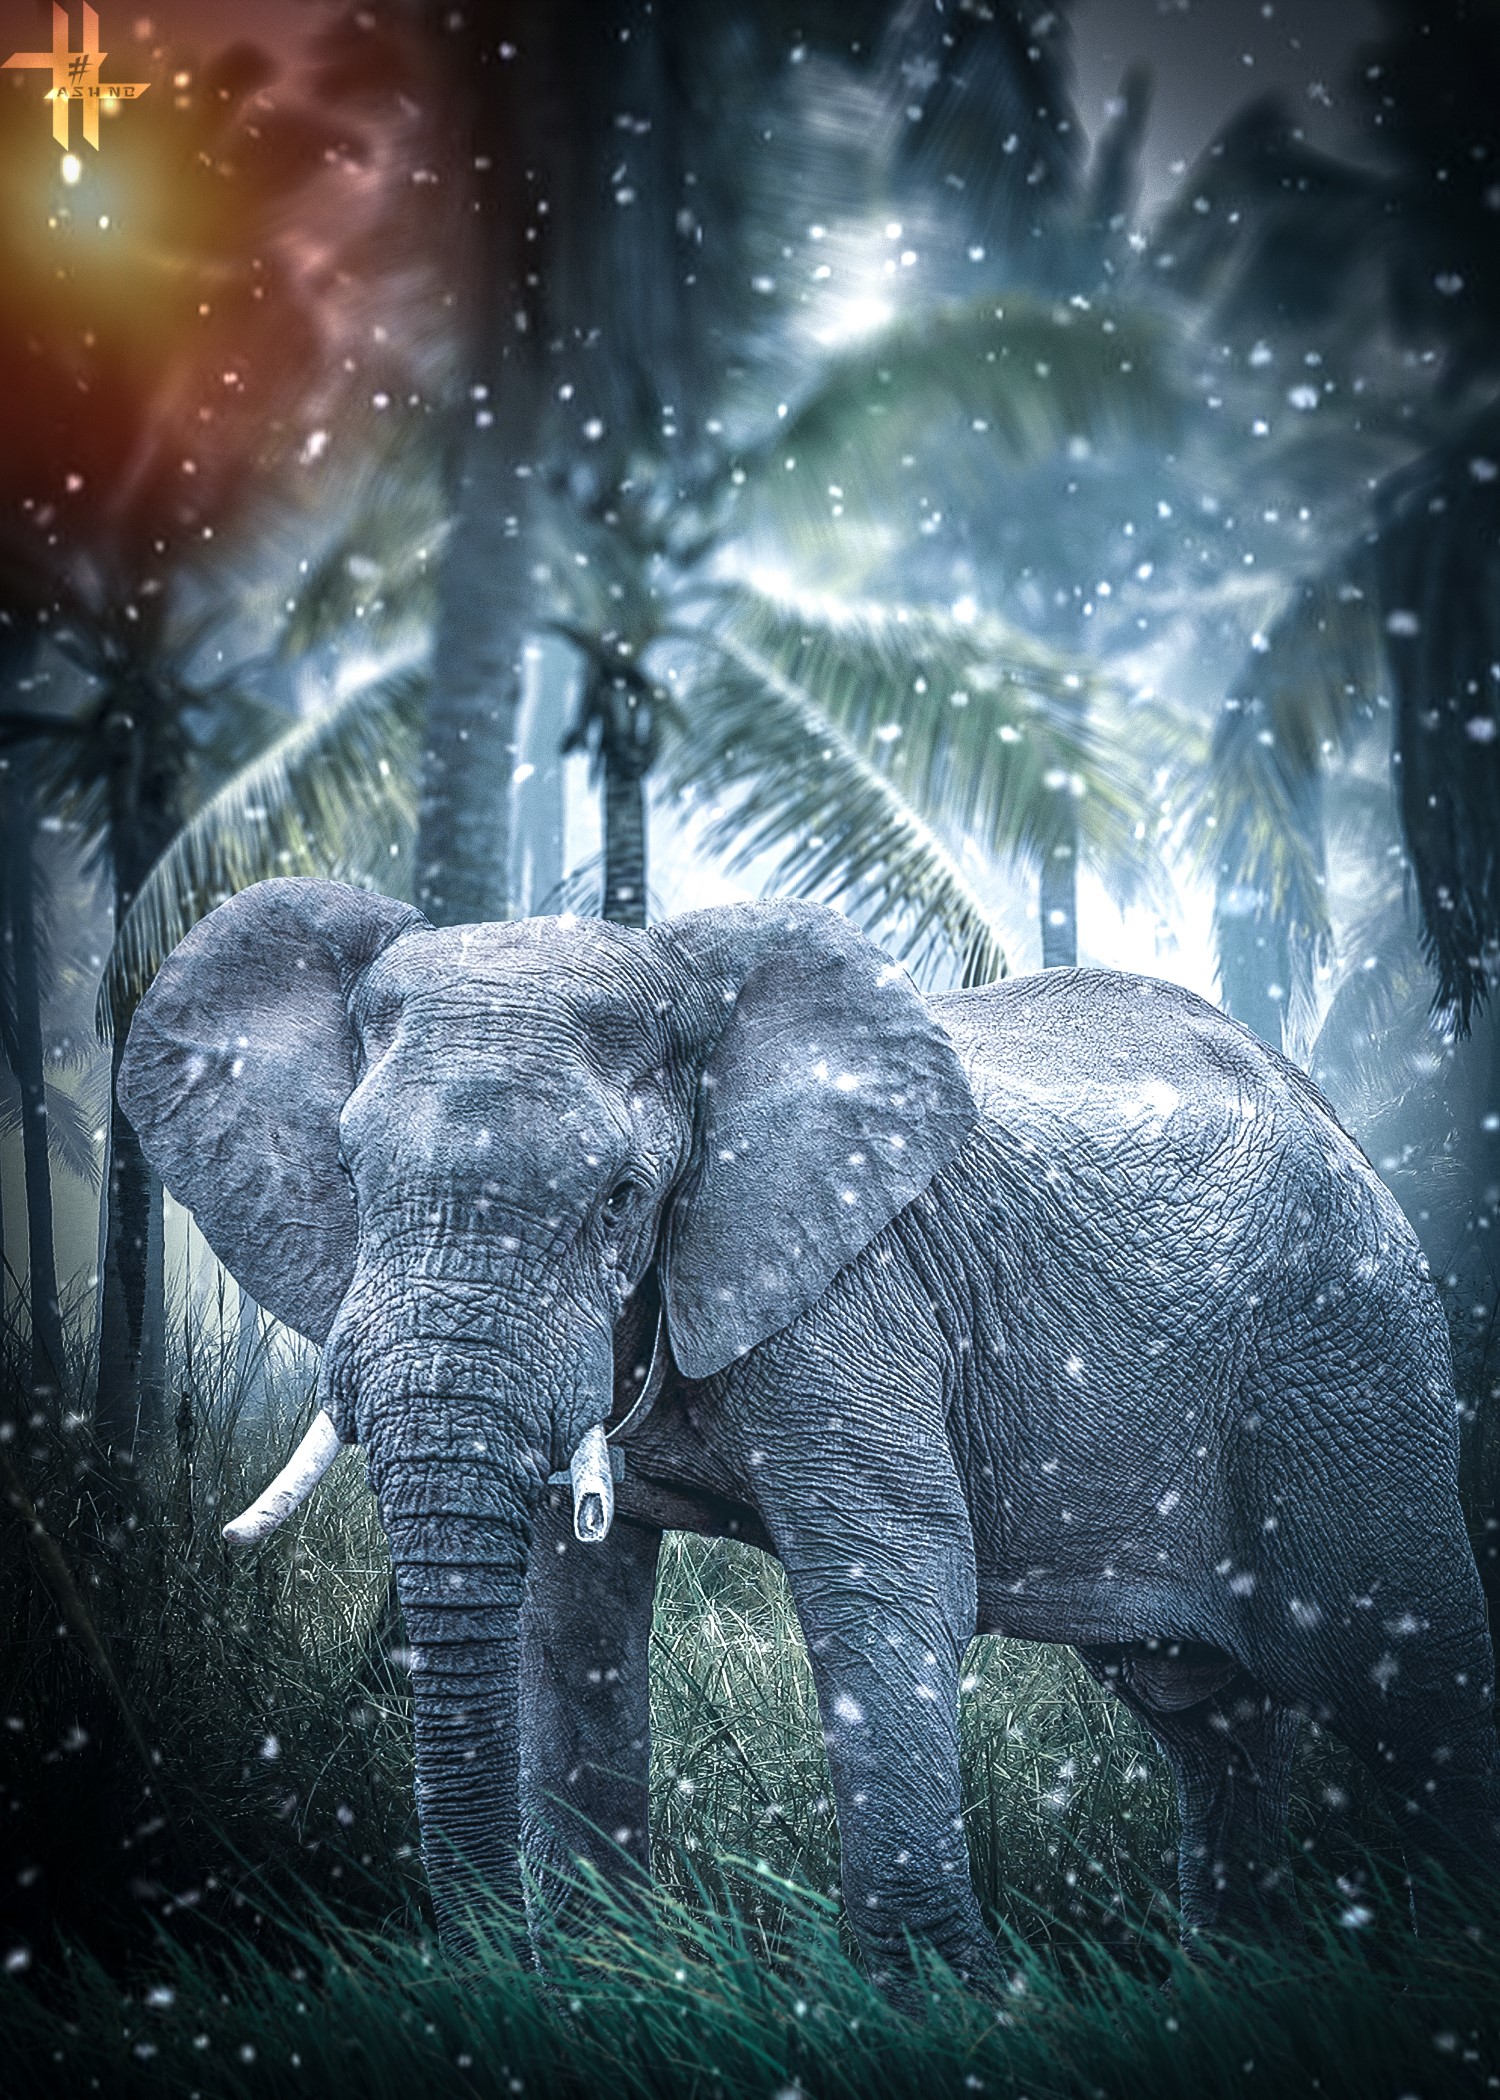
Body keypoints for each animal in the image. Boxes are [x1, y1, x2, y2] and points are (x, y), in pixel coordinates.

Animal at [118, 875, 1500, 1980]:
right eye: (350, 1179)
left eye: (620, 1198)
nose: (483, 1964)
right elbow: (569, 1613)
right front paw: (600, 1976)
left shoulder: (852, 1284)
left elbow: (892, 1575)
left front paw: (948, 2003)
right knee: (1210, 1716)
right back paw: (1232, 1984)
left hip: (1348, 1366)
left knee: (1411, 1672)